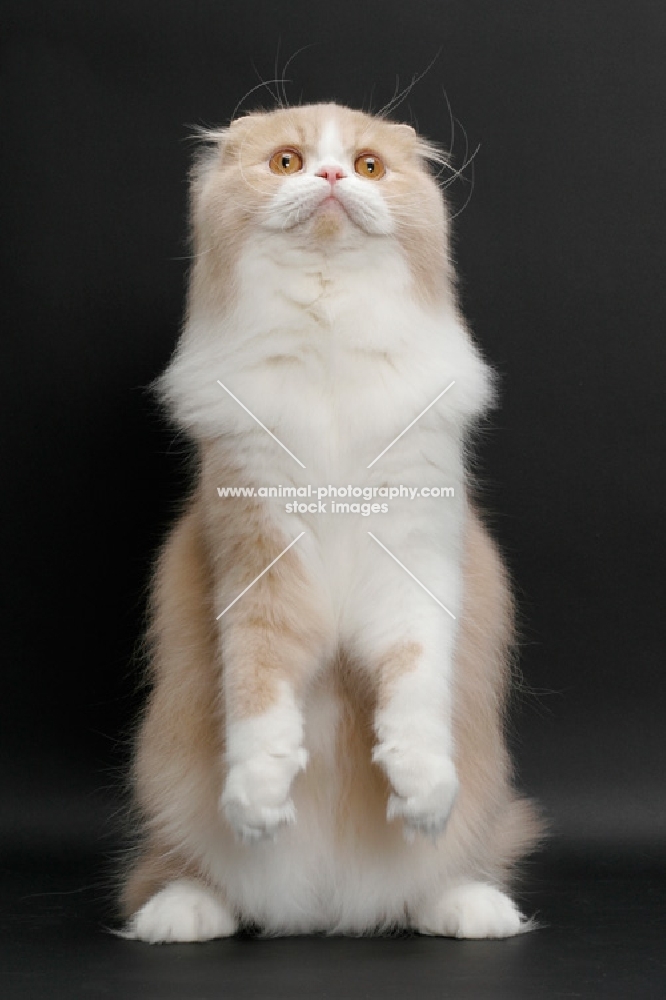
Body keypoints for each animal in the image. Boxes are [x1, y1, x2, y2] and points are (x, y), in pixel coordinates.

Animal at [120, 103, 540, 944]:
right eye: (287, 161)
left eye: (371, 166)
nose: (334, 175)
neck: (329, 343)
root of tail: (326, 911)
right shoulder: (256, 554)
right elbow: (257, 691)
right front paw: (258, 797)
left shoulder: (417, 556)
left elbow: (416, 680)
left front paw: (419, 786)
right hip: (166, 782)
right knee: (191, 873)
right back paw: (182, 914)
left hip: (475, 815)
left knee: (436, 878)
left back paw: (472, 910)